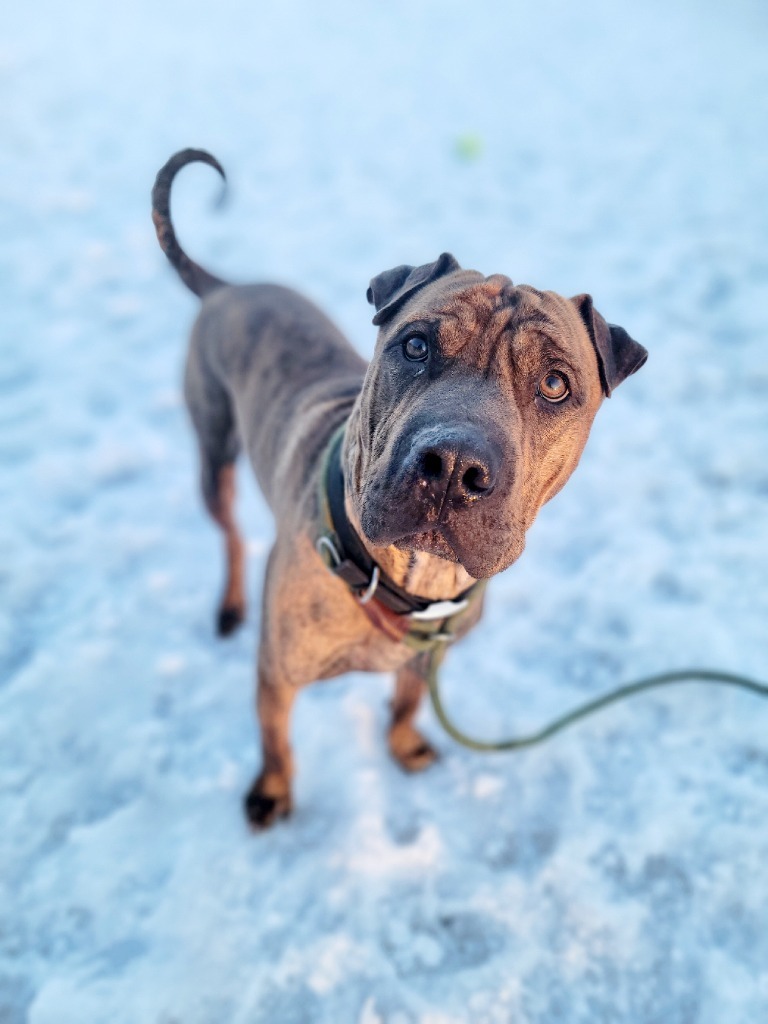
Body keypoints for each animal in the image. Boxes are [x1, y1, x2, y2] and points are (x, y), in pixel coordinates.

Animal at [151, 148, 651, 827]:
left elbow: (409, 699)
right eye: (415, 344)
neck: (412, 579)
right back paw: (230, 604)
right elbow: (276, 740)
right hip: (213, 454)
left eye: (554, 384)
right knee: (228, 532)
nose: (454, 466)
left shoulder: (431, 655)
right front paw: (273, 792)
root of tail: (229, 289)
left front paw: (405, 743)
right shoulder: (276, 671)